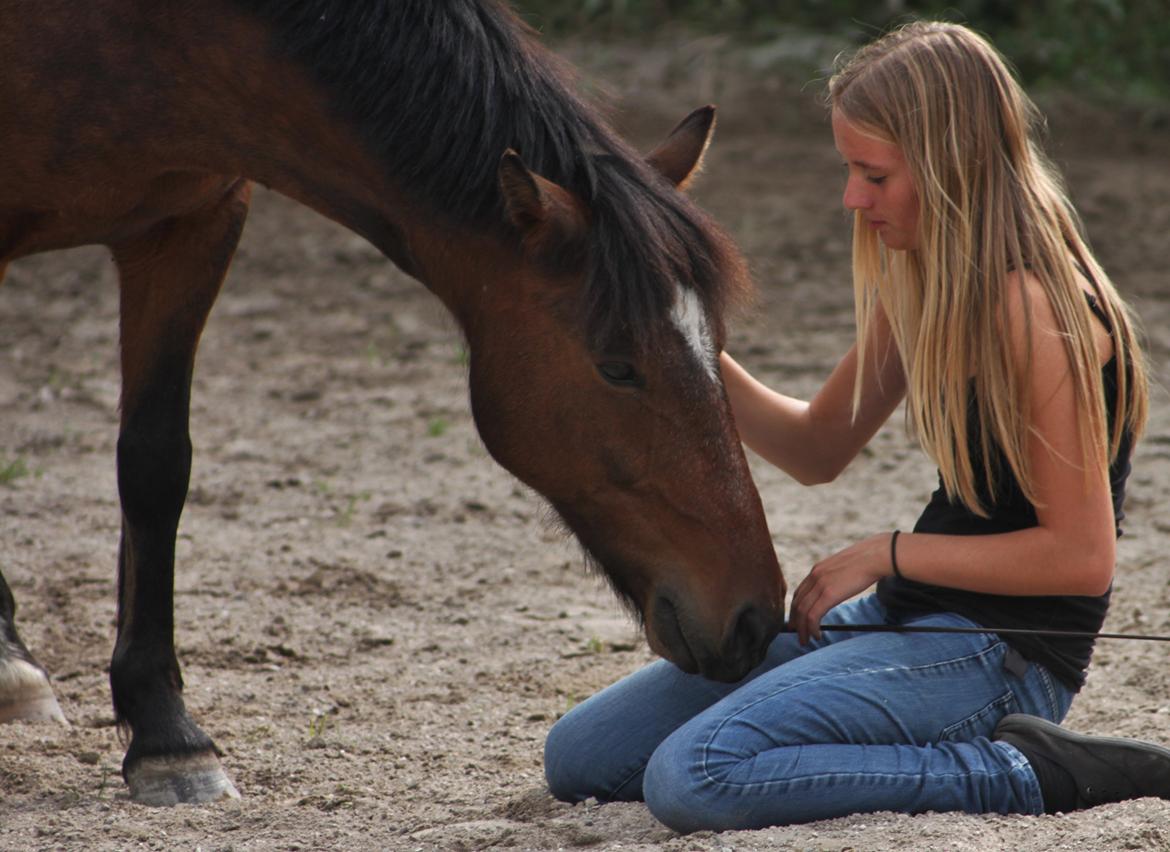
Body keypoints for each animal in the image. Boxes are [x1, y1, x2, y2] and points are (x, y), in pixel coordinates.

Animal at [2, 0, 786, 805]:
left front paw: (166, 734)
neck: (154, 38)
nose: (754, 619)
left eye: (719, 344)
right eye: (618, 367)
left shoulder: (193, 222)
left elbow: (155, 466)